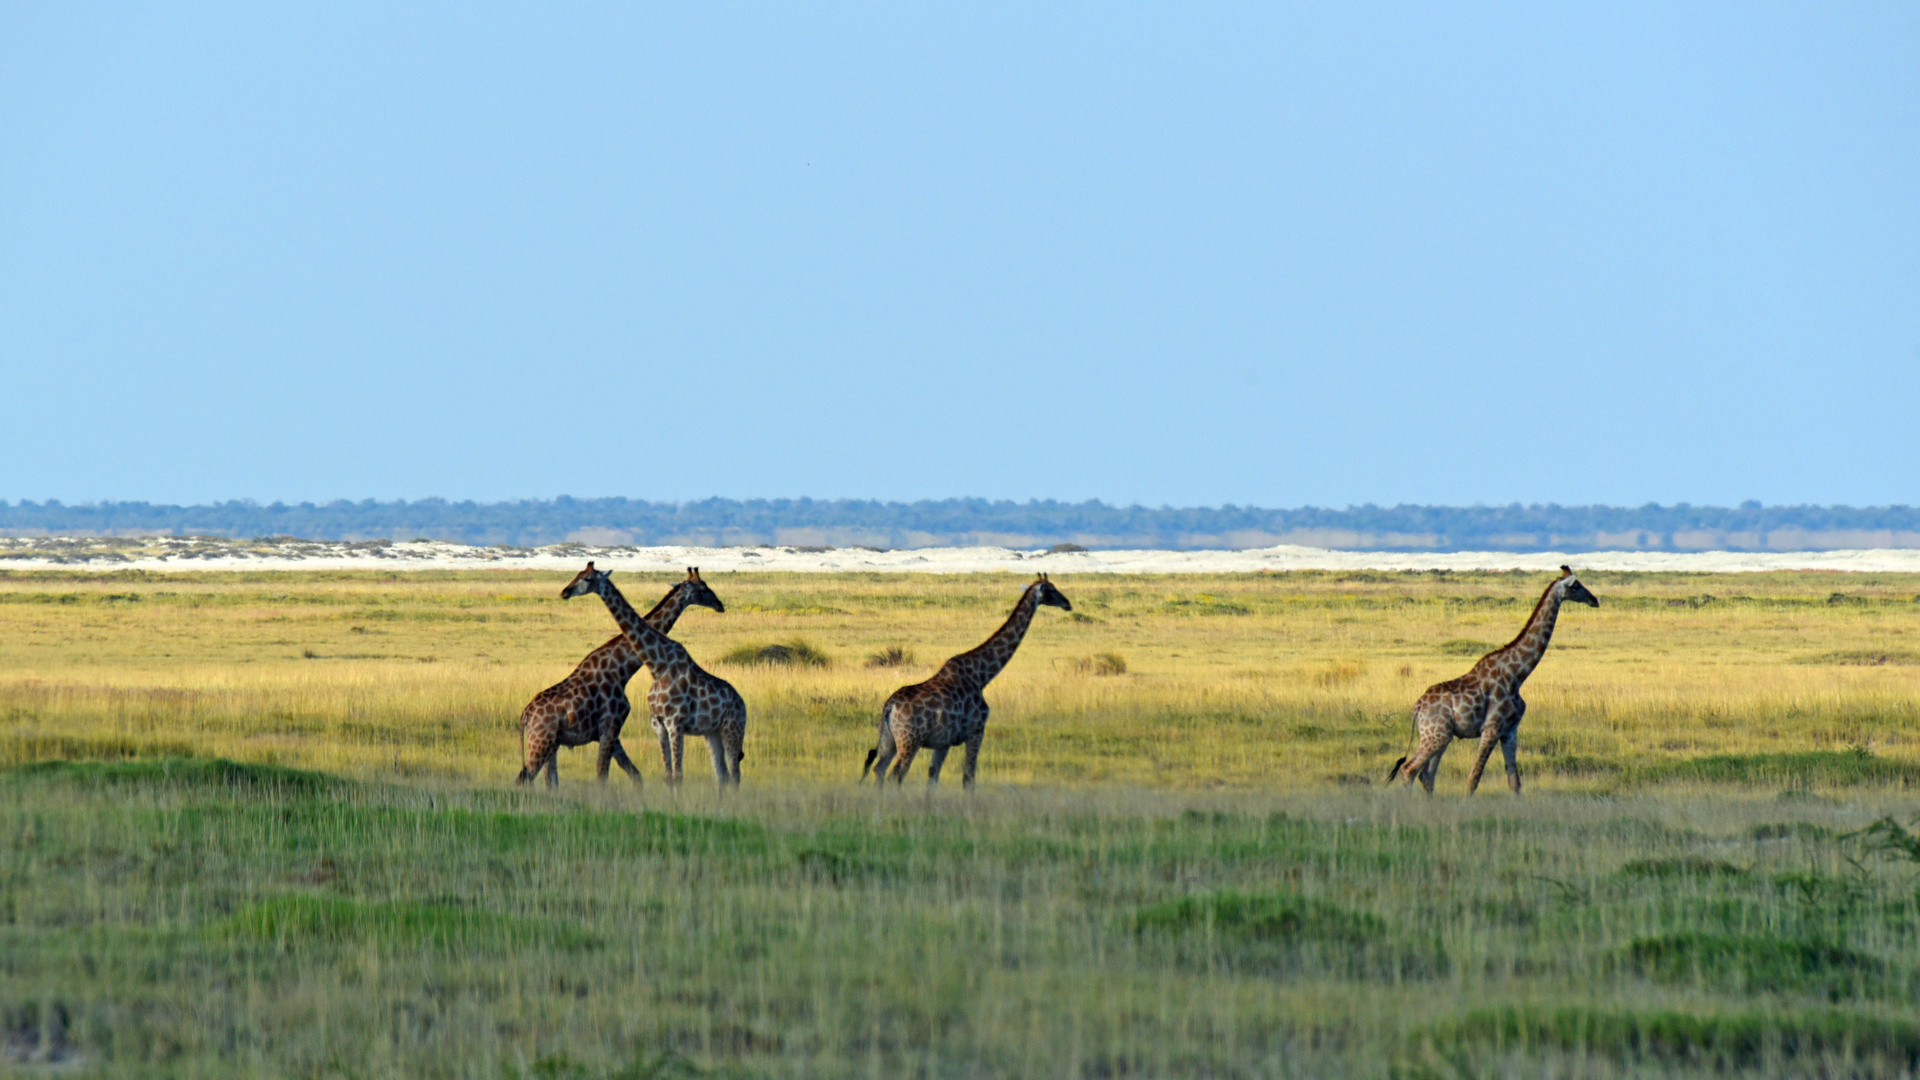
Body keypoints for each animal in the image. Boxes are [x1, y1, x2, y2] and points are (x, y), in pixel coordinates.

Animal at [514, 568, 721, 787]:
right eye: (703, 588)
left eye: (584, 577)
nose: (719, 605)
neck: (621, 669)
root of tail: (525, 716)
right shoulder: (610, 726)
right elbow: (602, 774)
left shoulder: (612, 733)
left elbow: (635, 775)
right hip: (541, 742)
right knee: (524, 779)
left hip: (551, 744)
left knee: (550, 782)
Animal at [556, 564, 748, 780]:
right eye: (579, 575)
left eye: (587, 578)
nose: (719, 605)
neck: (657, 665)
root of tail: (743, 704)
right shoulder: (658, 724)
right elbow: (668, 775)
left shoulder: (674, 723)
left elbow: (676, 775)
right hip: (713, 733)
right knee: (723, 776)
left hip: (731, 729)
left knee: (733, 775)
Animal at [864, 572, 1075, 791]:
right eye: (1051, 589)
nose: (1067, 603)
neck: (981, 676)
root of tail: (889, 707)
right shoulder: (976, 732)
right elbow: (968, 779)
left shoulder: (943, 742)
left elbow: (933, 778)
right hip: (910, 741)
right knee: (895, 775)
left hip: (888, 741)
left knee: (879, 770)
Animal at [1390, 564, 1597, 791]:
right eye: (1576, 586)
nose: (1594, 600)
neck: (1517, 675)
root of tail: (1417, 708)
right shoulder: (1492, 728)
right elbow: (1473, 779)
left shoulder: (1510, 730)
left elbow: (1514, 781)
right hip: (1435, 735)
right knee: (1409, 769)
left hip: (1440, 736)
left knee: (1427, 775)